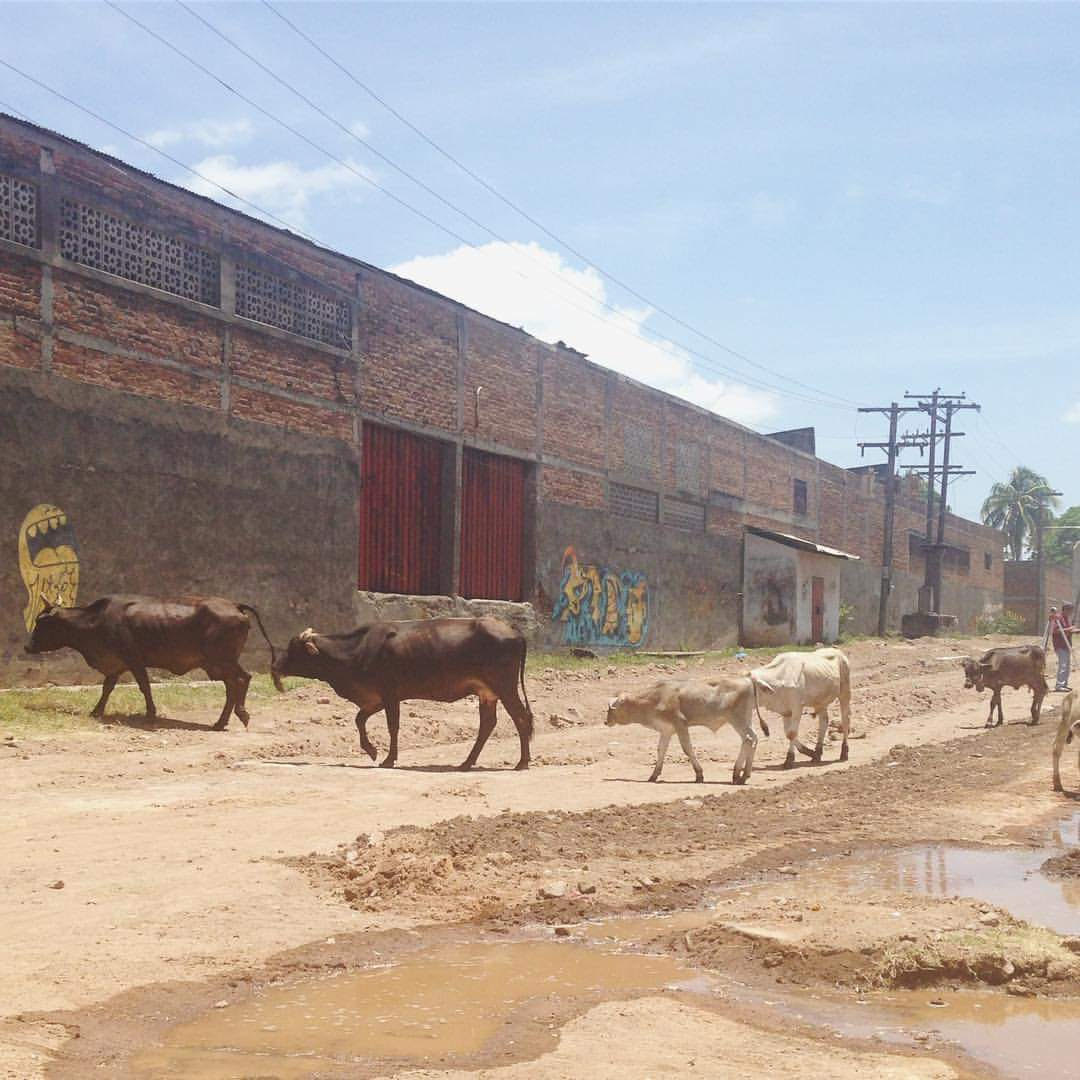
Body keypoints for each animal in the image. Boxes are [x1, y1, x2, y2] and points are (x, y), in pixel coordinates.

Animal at [29, 596, 276, 730]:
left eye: (42, 623)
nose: (27, 647)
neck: (94, 620)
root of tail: (234, 605)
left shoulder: (134, 660)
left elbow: (144, 686)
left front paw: (150, 714)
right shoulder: (117, 664)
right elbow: (107, 688)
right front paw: (96, 711)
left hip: (222, 660)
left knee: (242, 679)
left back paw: (240, 715)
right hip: (217, 664)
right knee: (232, 685)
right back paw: (221, 722)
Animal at [272, 617, 533, 768]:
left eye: (294, 650)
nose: (275, 666)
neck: (357, 650)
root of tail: (512, 629)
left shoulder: (389, 694)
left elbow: (392, 726)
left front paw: (388, 759)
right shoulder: (374, 699)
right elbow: (359, 720)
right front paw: (371, 751)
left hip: (505, 687)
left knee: (521, 718)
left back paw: (521, 762)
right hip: (487, 693)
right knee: (488, 724)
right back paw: (467, 762)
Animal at [604, 673, 764, 786]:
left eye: (611, 709)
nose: (606, 721)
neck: (655, 697)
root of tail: (748, 680)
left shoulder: (680, 724)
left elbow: (687, 749)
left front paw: (699, 775)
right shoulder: (666, 730)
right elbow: (661, 750)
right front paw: (653, 775)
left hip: (737, 719)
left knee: (748, 739)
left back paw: (737, 774)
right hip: (746, 720)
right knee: (753, 739)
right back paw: (744, 775)